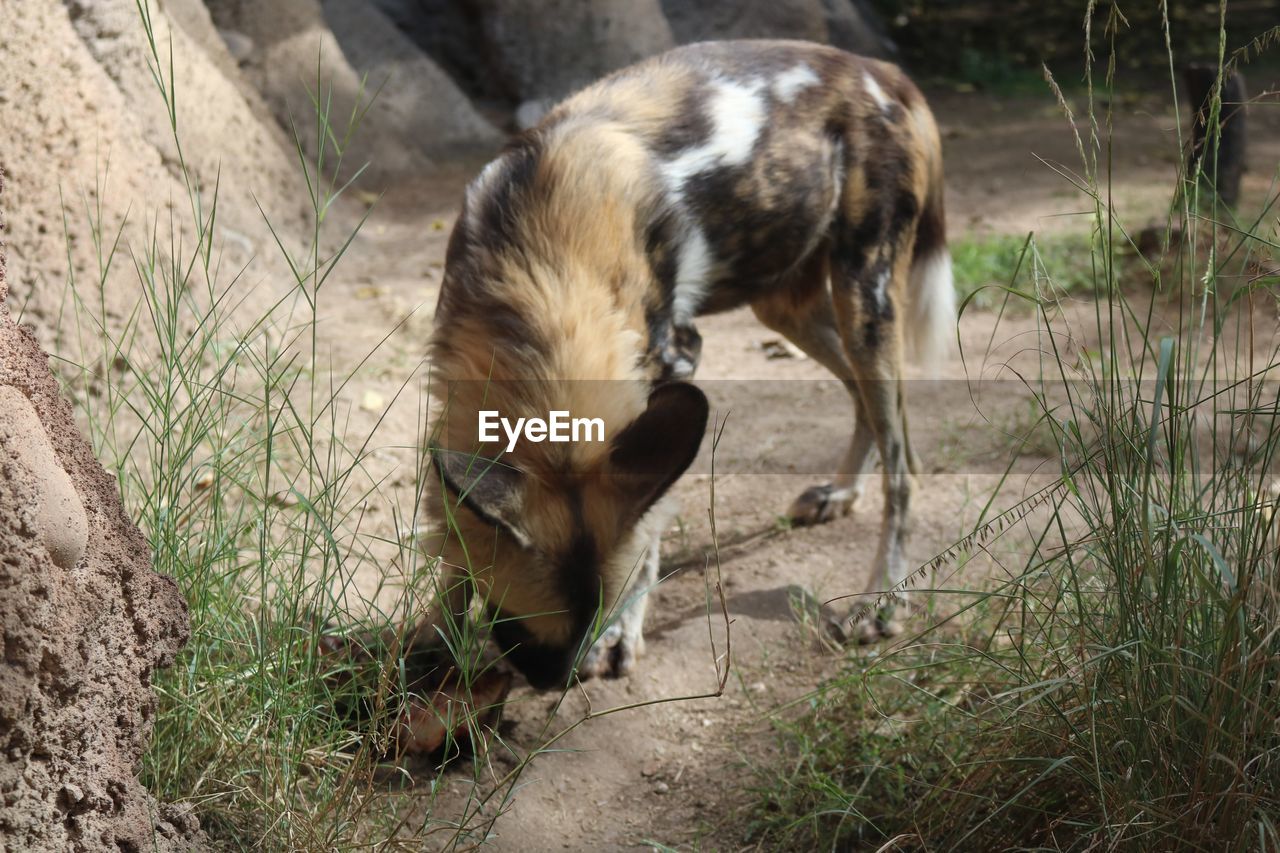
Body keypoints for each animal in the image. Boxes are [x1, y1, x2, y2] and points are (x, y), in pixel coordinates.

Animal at [409, 41, 952, 691]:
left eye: (592, 620)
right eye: (515, 620)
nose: (557, 682)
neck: (540, 271)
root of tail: (877, 68)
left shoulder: (673, 359)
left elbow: (646, 538)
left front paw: (622, 635)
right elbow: (453, 541)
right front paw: (431, 641)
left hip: (863, 295)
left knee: (902, 464)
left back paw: (883, 598)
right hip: (791, 308)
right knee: (874, 410)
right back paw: (841, 492)